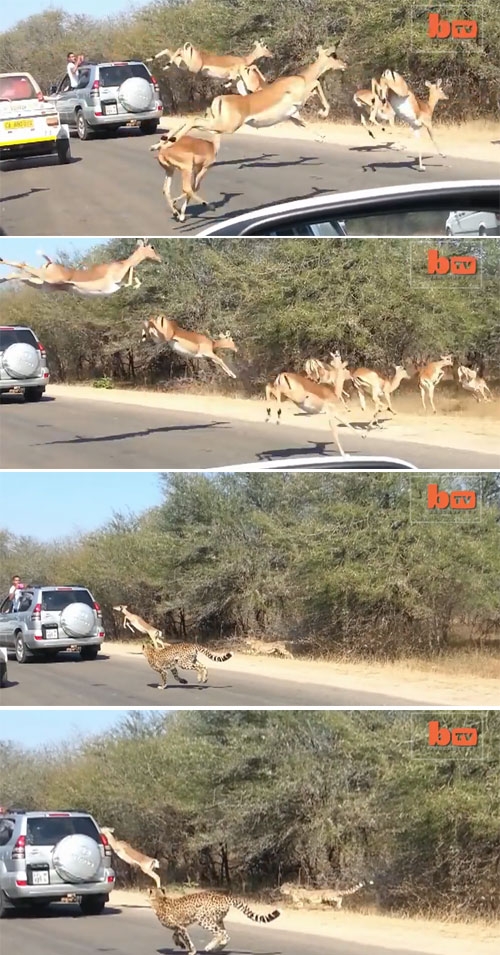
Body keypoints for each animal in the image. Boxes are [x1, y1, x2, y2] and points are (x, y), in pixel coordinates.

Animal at [148, 884, 282, 952]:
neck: (159, 899)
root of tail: (223, 897)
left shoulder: (181, 926)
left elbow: (186, 939)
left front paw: (191, 950)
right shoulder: (181, 926)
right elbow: (175, 935)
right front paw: (180, 944)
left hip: (203, 918)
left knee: (220, 934)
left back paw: (209, 947)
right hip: (218, 919)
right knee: (226, 935)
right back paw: (217, 948)